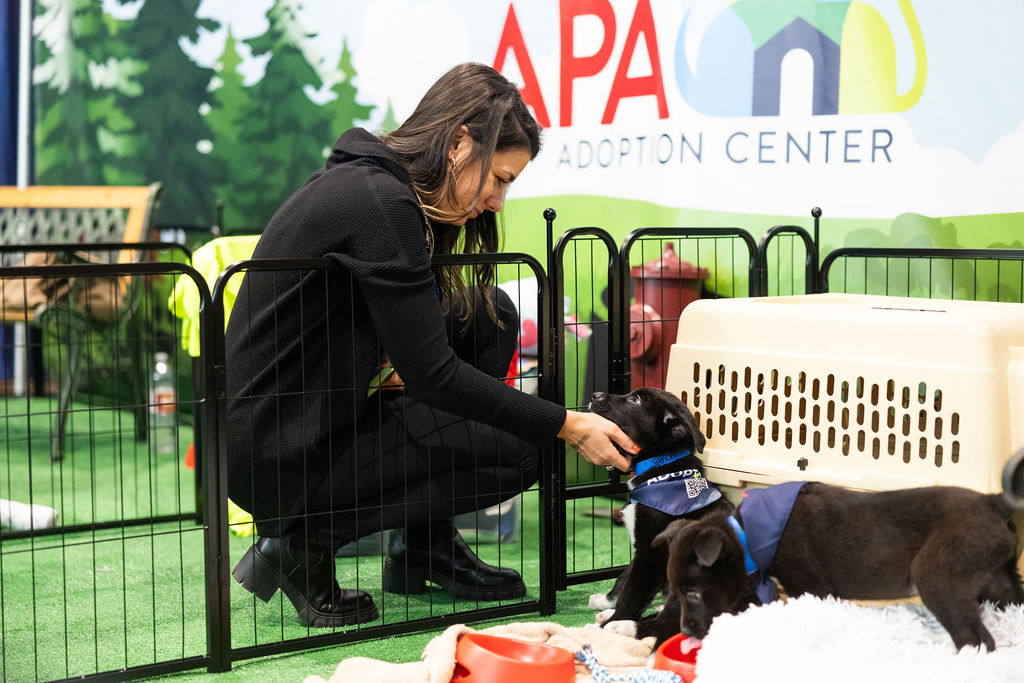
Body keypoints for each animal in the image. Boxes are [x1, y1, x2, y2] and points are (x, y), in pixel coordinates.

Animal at [585, 387, 737, 643]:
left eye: (634, 400)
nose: (595, 395)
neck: (662, 470)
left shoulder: (651, 552)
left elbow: (633, 591)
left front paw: (612, 621)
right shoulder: (641, 547)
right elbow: (625, 576)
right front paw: (606, 602)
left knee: (673, 624)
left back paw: (621, 627)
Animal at [655, 481, 1024, 651]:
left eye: (694, 593)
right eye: (676, 594)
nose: (686, 630)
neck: (746, 533)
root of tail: (992, 502)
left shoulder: (811, 588)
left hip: (939, 577)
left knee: (975, 638)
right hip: (999, 579)